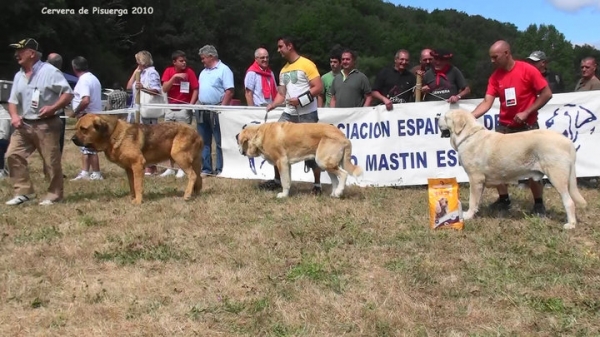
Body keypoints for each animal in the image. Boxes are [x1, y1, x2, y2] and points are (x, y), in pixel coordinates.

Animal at [71, 114, 203, 203]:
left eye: (84, 129)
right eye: (76, 128)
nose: (72, 139)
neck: (112, 134)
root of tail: (197, 134)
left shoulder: (138, 164)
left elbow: (138, 185)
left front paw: (138, 201)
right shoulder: (129, 169)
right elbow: (132, 184)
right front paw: (132, 198)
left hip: (178, 156)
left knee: (192, 175)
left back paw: (187, 195)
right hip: (193, 161)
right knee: (198, 177)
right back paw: (196, 194)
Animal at [436, 109, 584, 230]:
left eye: (446, 117)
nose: (437, 117)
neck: (468, 136)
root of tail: (568, 141)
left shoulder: (475, 178)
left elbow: (473, 199)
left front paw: (467, 215)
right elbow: (477, 200)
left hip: (557, 176)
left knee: (569, 202)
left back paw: (570, 224)